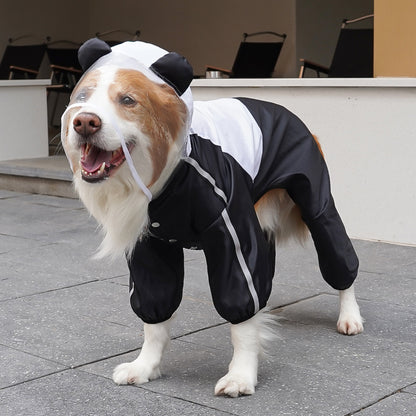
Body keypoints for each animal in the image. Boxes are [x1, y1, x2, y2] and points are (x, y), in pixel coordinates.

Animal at [60, 39, 362, 400]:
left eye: (128, 100)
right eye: (83, 97)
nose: (84, 122)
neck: (170, 174)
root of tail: (288, 112)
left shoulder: (231, 231)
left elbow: (241, 309)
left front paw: (241, 375)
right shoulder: (151, 246)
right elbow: (155, 312)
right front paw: (145, 366)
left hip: (317, 206)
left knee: (340, 258)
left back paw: (350, 316)